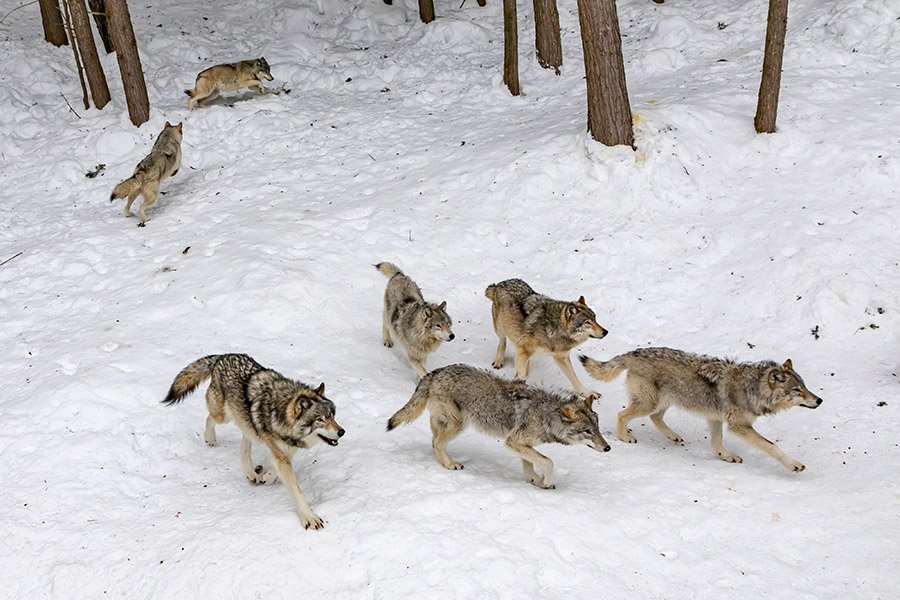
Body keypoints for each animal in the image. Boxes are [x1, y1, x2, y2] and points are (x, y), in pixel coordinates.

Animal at [162, 353, 344, 529]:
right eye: (320, 420)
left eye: (332, 416)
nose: (342, 432)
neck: (281, 413)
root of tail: (221, 357)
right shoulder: (281, 453)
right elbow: (296, 490)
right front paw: (309, 517)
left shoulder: (285, 450)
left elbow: (276, 469)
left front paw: (267, 476)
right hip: (223, 416)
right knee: (210, 418)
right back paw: (210, 438)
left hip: (246, 424)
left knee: (244, 445)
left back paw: (251, 473)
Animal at [387, 364, 610, 489]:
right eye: (587, 431)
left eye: (598, 429)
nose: (608, 448)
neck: (546, 415)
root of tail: (435, 372)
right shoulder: (513, 442)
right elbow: (548, 462)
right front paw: (546, 481)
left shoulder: (522, 444)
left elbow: (530, 465)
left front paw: (536, 481)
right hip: (459, 425)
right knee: (437, 443)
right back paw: (450, 464)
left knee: (434, 440)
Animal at [580, 348, 823, 472]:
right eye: (797, 390)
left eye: (805, 386)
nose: (820, 400)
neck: (752, 388)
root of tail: (634, 352)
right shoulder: (739, 426)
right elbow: (772, 446)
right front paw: (793, 465)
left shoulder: (715, 418)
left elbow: (717, 443)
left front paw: (726, 457)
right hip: (649, 402)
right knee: (622, 415)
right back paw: (625, 437)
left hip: (665, 402)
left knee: (655, 418)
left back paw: (673, 436)